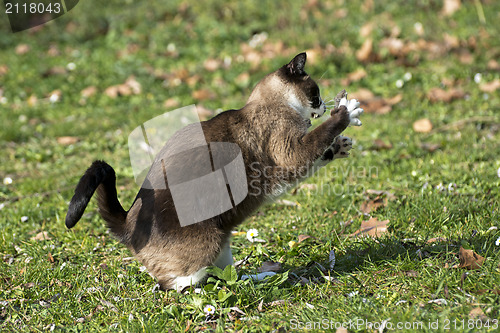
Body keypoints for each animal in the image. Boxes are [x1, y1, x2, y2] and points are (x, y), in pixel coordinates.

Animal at [65, 52, 364, 290]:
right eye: (316, 93)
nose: (323, 105)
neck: (273, 104)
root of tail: (127, 223)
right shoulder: (291, 153)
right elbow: (320, 136)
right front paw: (346, 112)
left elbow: (321, 148)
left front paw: (340, 146)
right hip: (209, 241)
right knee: (178, 285)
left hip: (223, 240)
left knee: (225, 276)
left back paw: (260, 279)